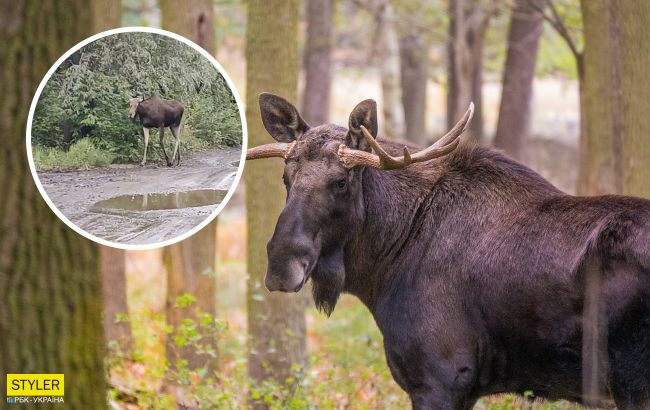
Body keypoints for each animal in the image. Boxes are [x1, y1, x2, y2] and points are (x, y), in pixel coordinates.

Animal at [246, 93, 648, 410]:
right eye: (286, 178)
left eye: (341, 182)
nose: (281, 265)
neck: (383, 265)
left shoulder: (440, 378)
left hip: (631, 382)